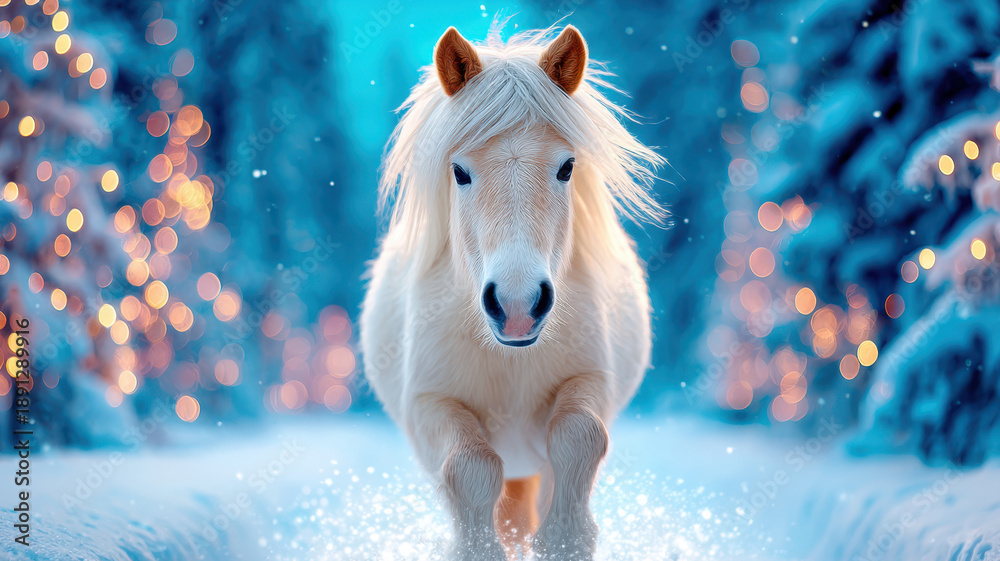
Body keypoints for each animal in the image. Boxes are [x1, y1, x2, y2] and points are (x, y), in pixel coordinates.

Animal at [360, 24, 664, 560]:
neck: (509, 358)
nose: (518, 306)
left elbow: (580, 436)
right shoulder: (431, 405)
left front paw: (566, 539)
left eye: (567, 167)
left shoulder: (590, 380)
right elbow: (469, 468)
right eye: (459, 171)